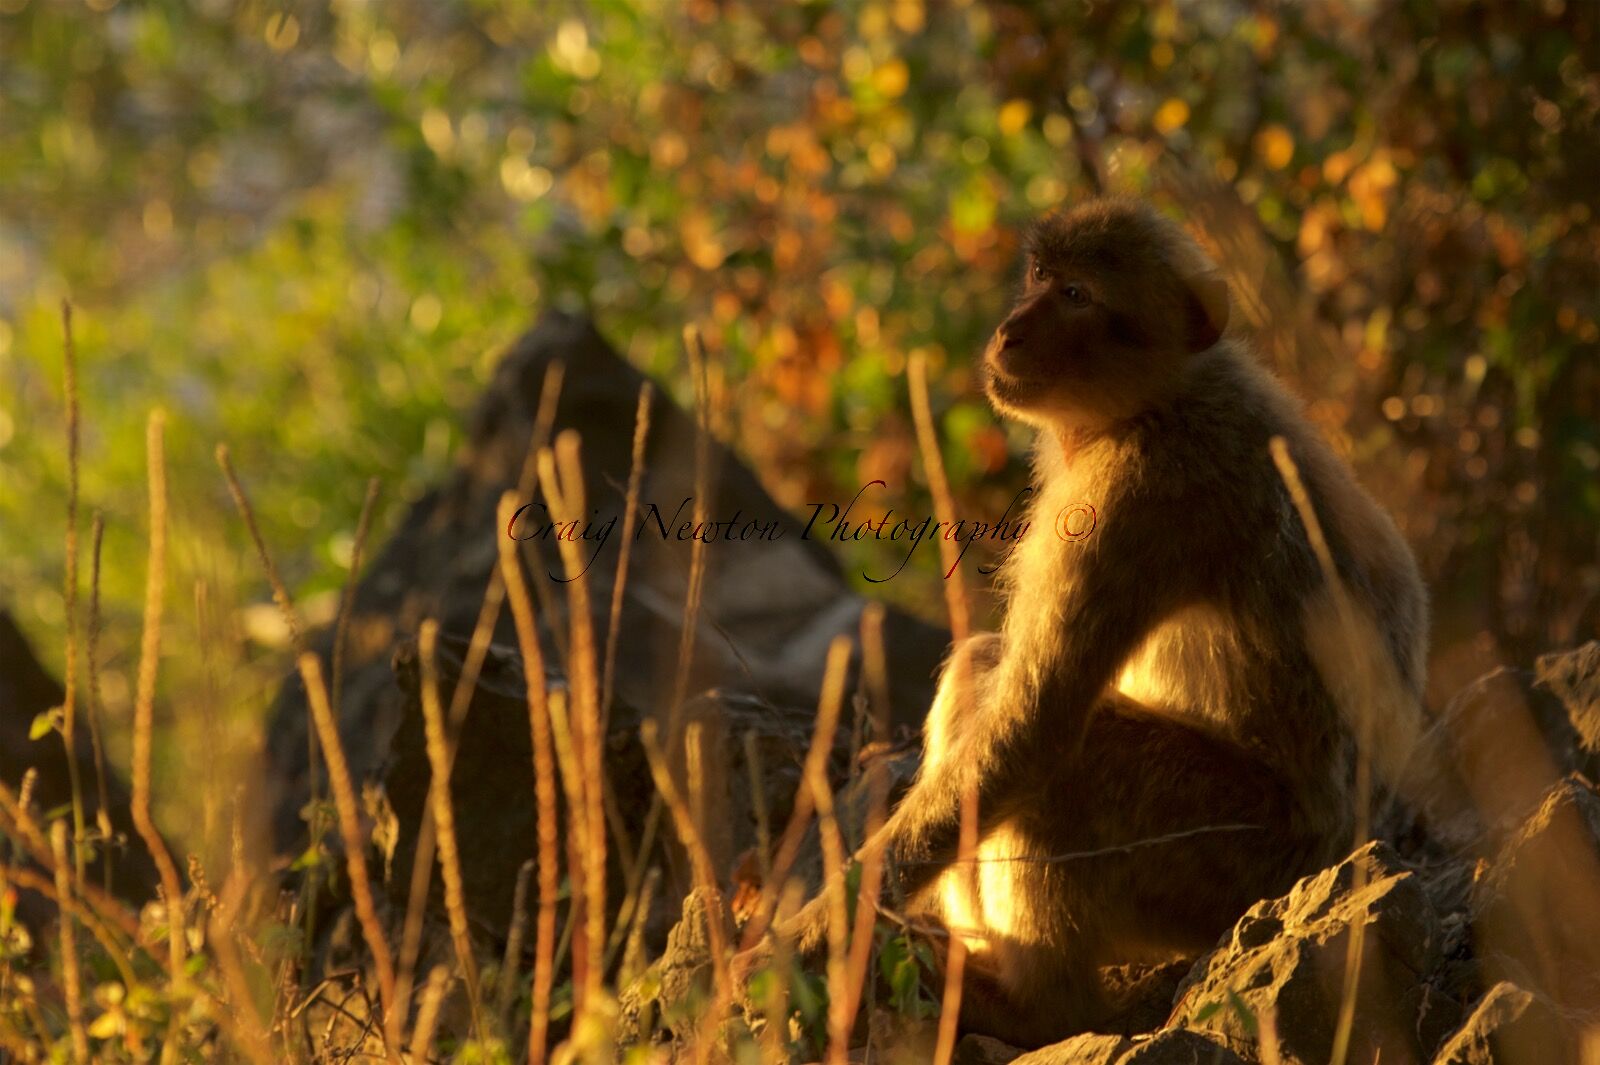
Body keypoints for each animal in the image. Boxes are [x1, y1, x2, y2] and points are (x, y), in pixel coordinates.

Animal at [743, 198, 1430, 1047]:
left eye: (1076, 295)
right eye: (1040, 277)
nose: (1009, 330)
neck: (1153, 400)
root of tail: (1354, 843)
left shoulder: (1129, 502)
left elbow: (1034, 733)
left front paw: (813, 934)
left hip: (1234, 863)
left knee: (1072, 763)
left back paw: (1038, 1006)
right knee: (982, 671)